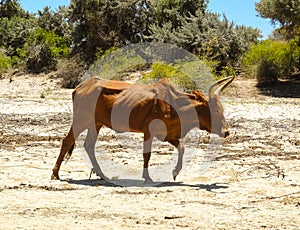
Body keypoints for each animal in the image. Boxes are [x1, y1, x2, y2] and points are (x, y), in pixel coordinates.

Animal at [52, 76, 234, 182]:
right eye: (215, 111)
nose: (226, 132)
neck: (173, 102)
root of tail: (79, 87)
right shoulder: (149, 132)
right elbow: (147, 155)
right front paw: (147, 178)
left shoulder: (167, 135)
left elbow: (181, 148)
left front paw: (175, 172)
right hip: (81, 120)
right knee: (67, 141)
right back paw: (55, 174)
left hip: (95, 124)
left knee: (88, 145)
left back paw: (102, 174)